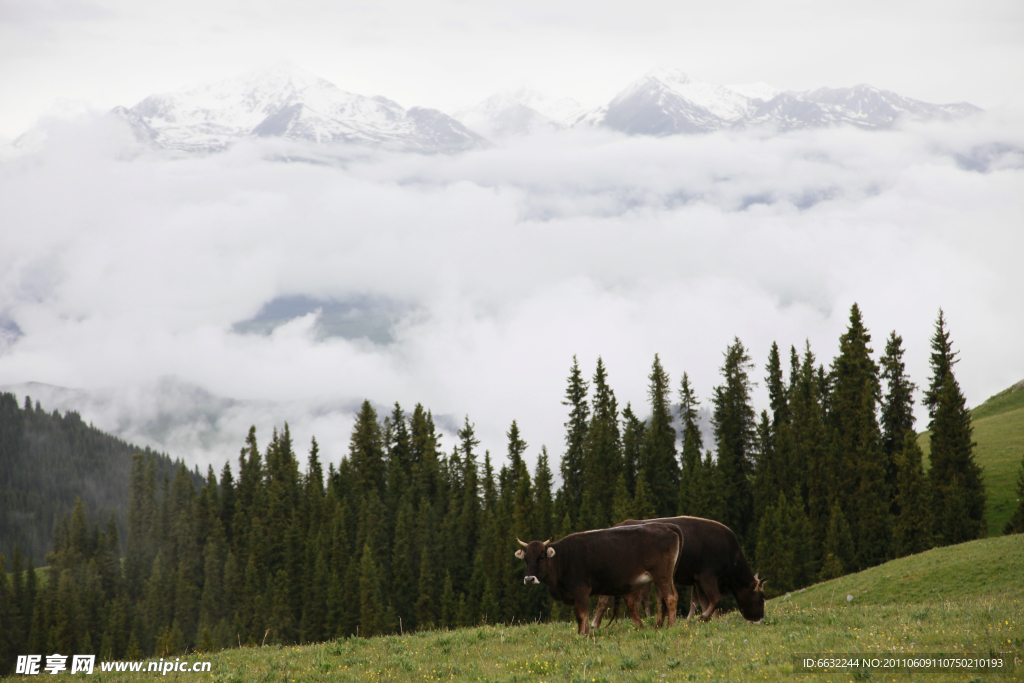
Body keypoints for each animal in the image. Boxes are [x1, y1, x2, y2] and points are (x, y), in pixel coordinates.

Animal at [516, 524, 684, 634]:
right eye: (526, 559)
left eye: (541, 557)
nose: (529, 579)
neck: (562, 558)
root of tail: (667, 527)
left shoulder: (581, 590)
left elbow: (582, 614)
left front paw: (583, 634)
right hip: (657, 577)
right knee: (659, 599)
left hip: (662, 574)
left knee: (670, 597)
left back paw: (671, 626)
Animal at [589, 516, 765, 626]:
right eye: (762, 597)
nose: (760, 618)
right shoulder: (706, 575)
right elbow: (715, 599)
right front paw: (702, 618)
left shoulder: (697, 580)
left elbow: (701, 601)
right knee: (609, 598)